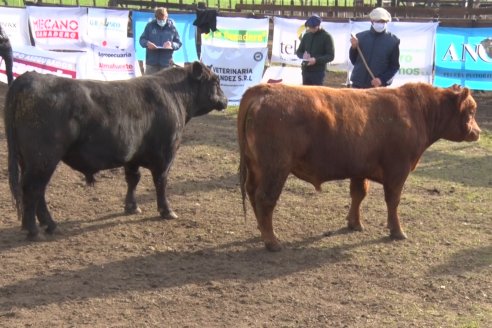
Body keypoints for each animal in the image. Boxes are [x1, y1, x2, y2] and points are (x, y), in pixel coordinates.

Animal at [4, 60, 228, 238]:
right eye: (215, 81)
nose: (226, 100)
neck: (173, 95)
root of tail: (30, 77)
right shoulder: (165, 155)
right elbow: (161, 182)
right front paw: (166, 211)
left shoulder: (132, 156)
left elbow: (133, 179)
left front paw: (131, 207)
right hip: (44, 158)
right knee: (33, 188)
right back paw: (35, 230)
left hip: (31, 160)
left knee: (37, 191)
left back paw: (47, 225)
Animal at [238, 82, 480, 251]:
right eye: (471, 111)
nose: (477, 132)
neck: (417, 112)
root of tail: (263, 90)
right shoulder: (398, 170)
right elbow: (393, 201)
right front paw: (397, 231)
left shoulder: (360, 169)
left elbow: (358, 194)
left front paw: (354, 223)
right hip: (276, 167)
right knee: (265, 198)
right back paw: (272, 241)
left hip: (257, 167)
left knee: (252, 193)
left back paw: (262, 231)